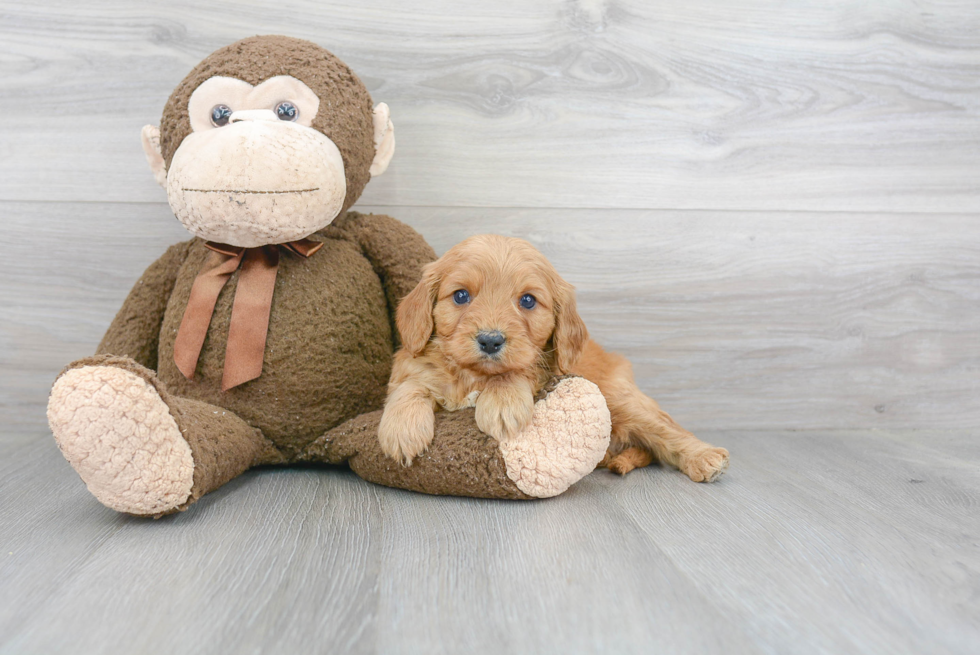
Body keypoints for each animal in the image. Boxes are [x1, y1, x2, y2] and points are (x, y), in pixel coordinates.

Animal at [378, 234, 732, 482]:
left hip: (621, 400)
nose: (490, 340)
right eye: (461, 295)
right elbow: (411, 385)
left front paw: (502, 403)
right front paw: (402, 430)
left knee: (667, 432)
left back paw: (705, 457)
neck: (475, 376)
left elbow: (518, 371)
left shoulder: (544, 371)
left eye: (528, 301)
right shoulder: (414, 363)